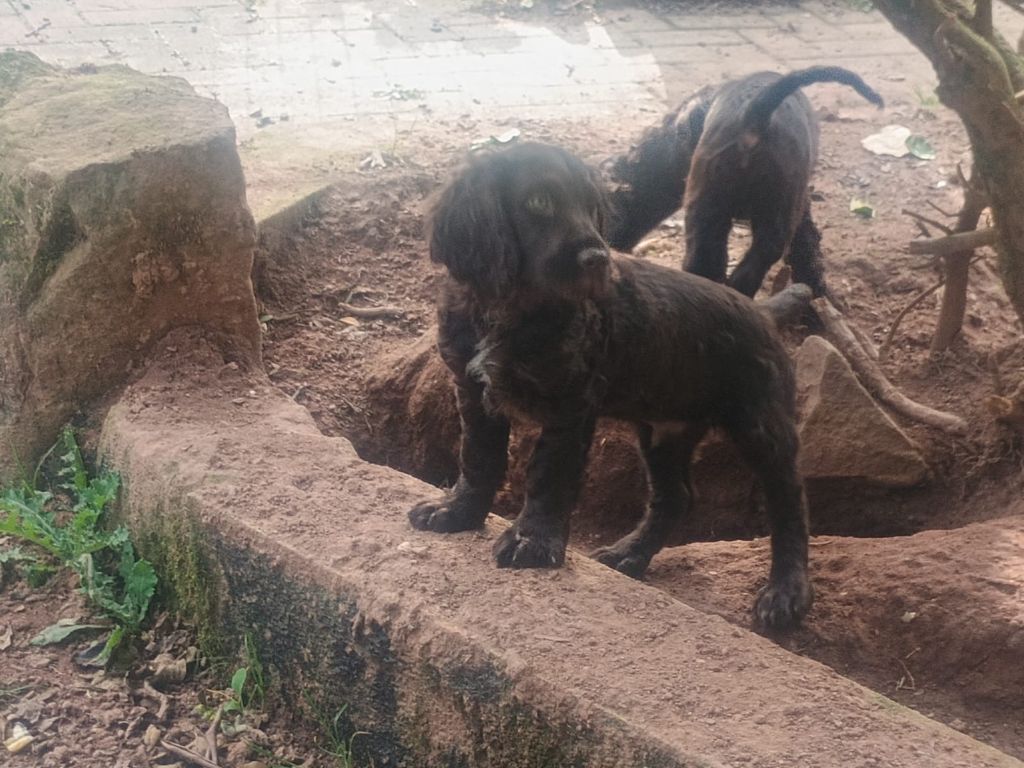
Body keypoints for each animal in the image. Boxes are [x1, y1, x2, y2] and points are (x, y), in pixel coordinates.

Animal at [407, 142, 813, 630]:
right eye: (539, 201)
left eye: (590, 207)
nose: (597, 260)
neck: (506, 309)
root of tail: (763, 312)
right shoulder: (472, 391)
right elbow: (478, 458)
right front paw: (457, 512)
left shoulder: (569, 403)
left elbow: (547, 475)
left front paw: (532, 541)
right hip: (664, 429)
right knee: (675, 497)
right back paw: (628, 554)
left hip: (760, 424)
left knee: (789, 501)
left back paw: (786, 593)